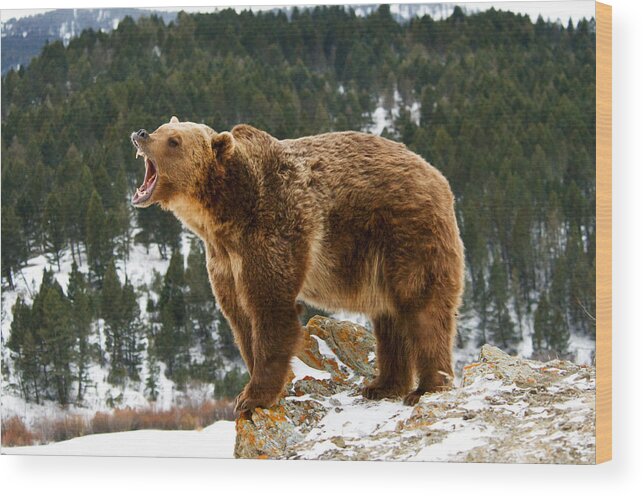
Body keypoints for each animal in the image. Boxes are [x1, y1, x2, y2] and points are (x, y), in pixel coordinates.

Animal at [130, 115, 462, 410]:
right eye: (162, 127)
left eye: (174, 141)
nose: (141, 134)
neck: (225, 214)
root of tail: (437, 175)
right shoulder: (224, 260)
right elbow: (240, 318)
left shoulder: (273, 228)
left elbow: (271, 309)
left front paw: (252, 398)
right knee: (389, 316)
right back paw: (382, 385)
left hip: (406, 232)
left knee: (422, 306)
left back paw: (426, 387)